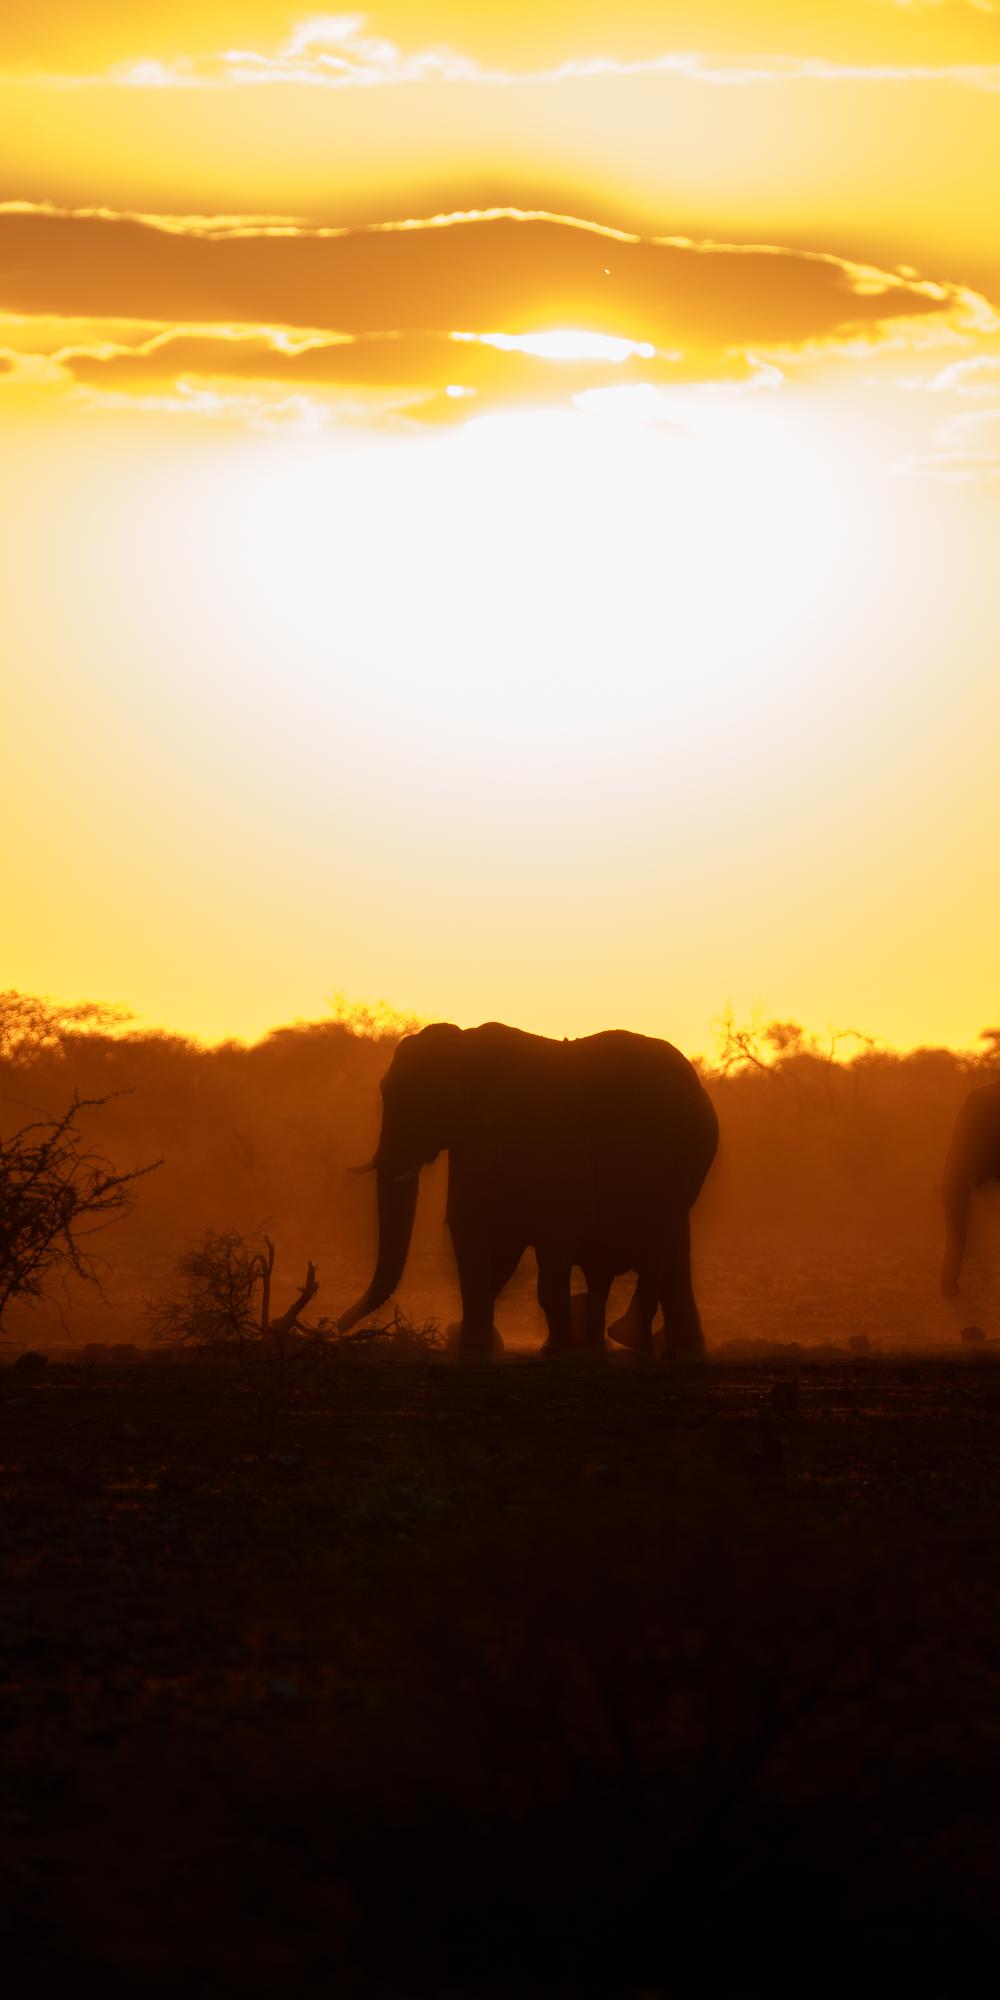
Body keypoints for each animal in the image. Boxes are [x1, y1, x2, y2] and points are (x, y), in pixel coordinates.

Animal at [337, 1021, 718, 1359]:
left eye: (423, 1100)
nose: (340, 1327)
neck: (467, 1051)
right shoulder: (473, 1143)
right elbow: (474, 1235)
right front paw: (472, 1347)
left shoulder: (550, 1141)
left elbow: (556, 1234)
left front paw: (558, 1351)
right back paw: (670, 1349)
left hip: (685, 1162)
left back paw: (637, 1341)